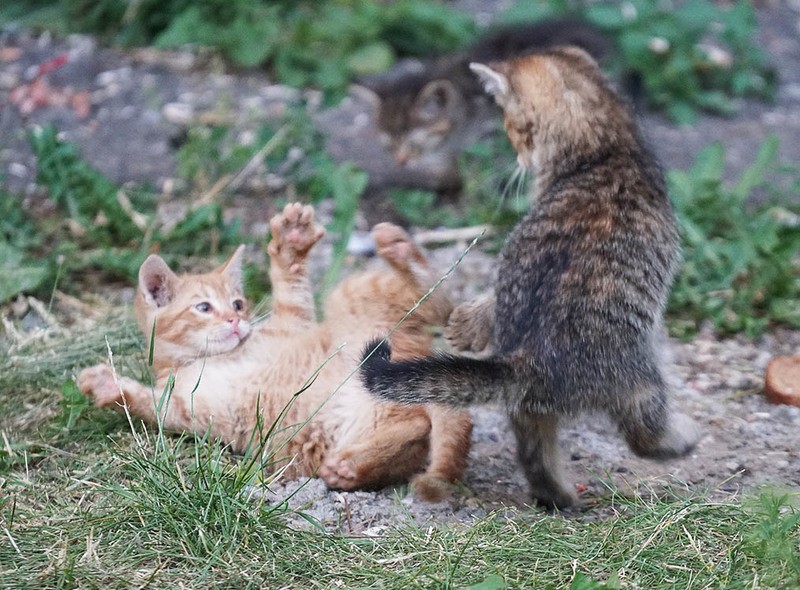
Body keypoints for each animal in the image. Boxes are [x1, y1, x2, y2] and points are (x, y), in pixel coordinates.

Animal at [78, 206, 472, 502]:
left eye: (238, 303)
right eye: (203, 307)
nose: (236, 320)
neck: (212, 358)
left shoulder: (293, 322)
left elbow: (292, 292)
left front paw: (291, 246)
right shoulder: (186, 410)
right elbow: (151, 404)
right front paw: (108, 385)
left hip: (355, 300)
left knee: (437, 300)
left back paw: (403, 252)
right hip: (340, 427)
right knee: (416, 426)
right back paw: (352, 468)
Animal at [360, 47, 696, 508]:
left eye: (511, 128)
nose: (518, 156)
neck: (602, 149)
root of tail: (528, 359)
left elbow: (493, 292)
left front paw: (468, 323)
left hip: (529, 407)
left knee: (536, 454)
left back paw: (562, 498)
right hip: (640, 376)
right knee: (641, 433)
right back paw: (679, 442)